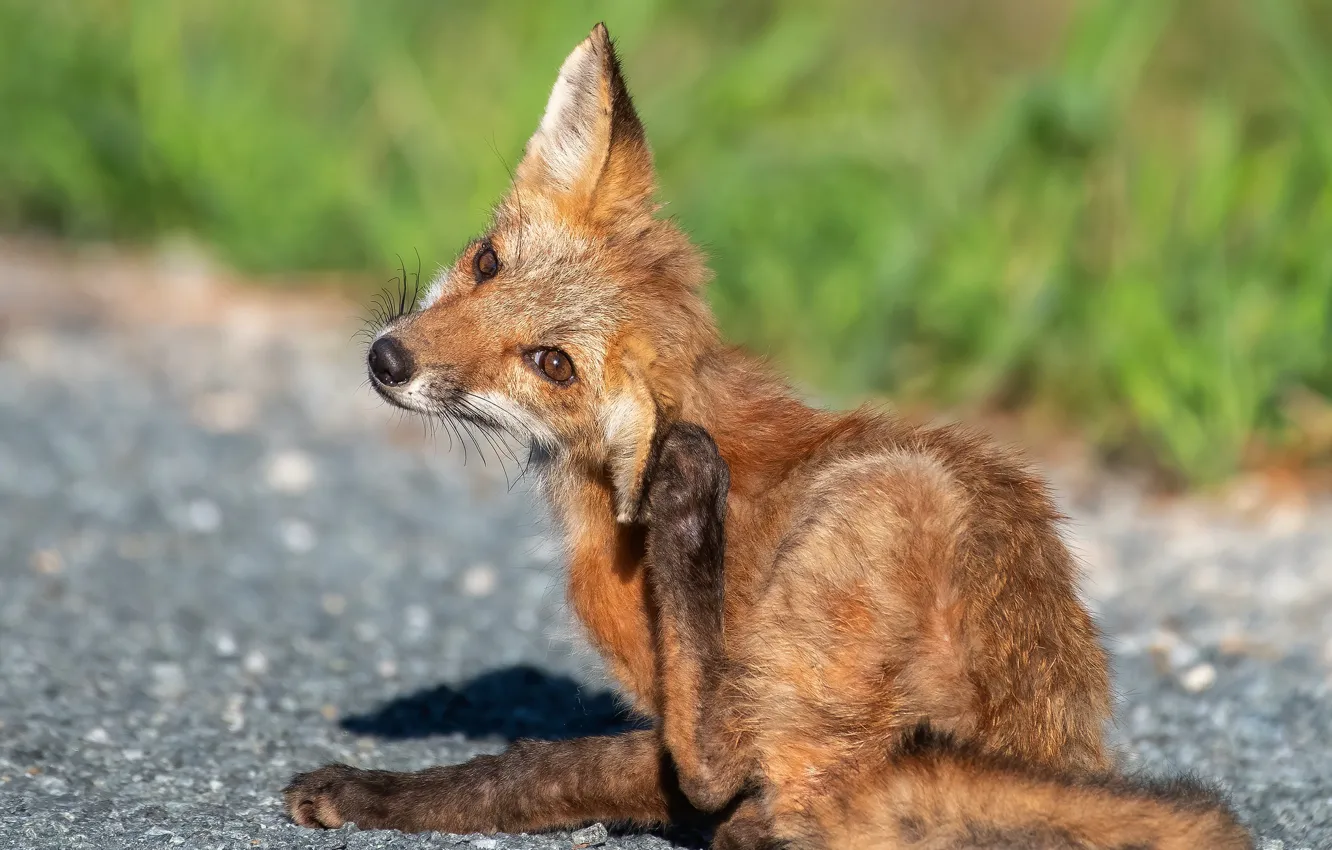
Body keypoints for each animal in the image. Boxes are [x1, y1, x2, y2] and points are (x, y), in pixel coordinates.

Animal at [281, 23, 1246, 847]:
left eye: (551, 362)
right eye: (487, 265)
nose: (388, 358)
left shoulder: (688, 720)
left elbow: (537, 770)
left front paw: (365, 791)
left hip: (893, 496)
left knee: (730, 770)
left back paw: (689, 509)